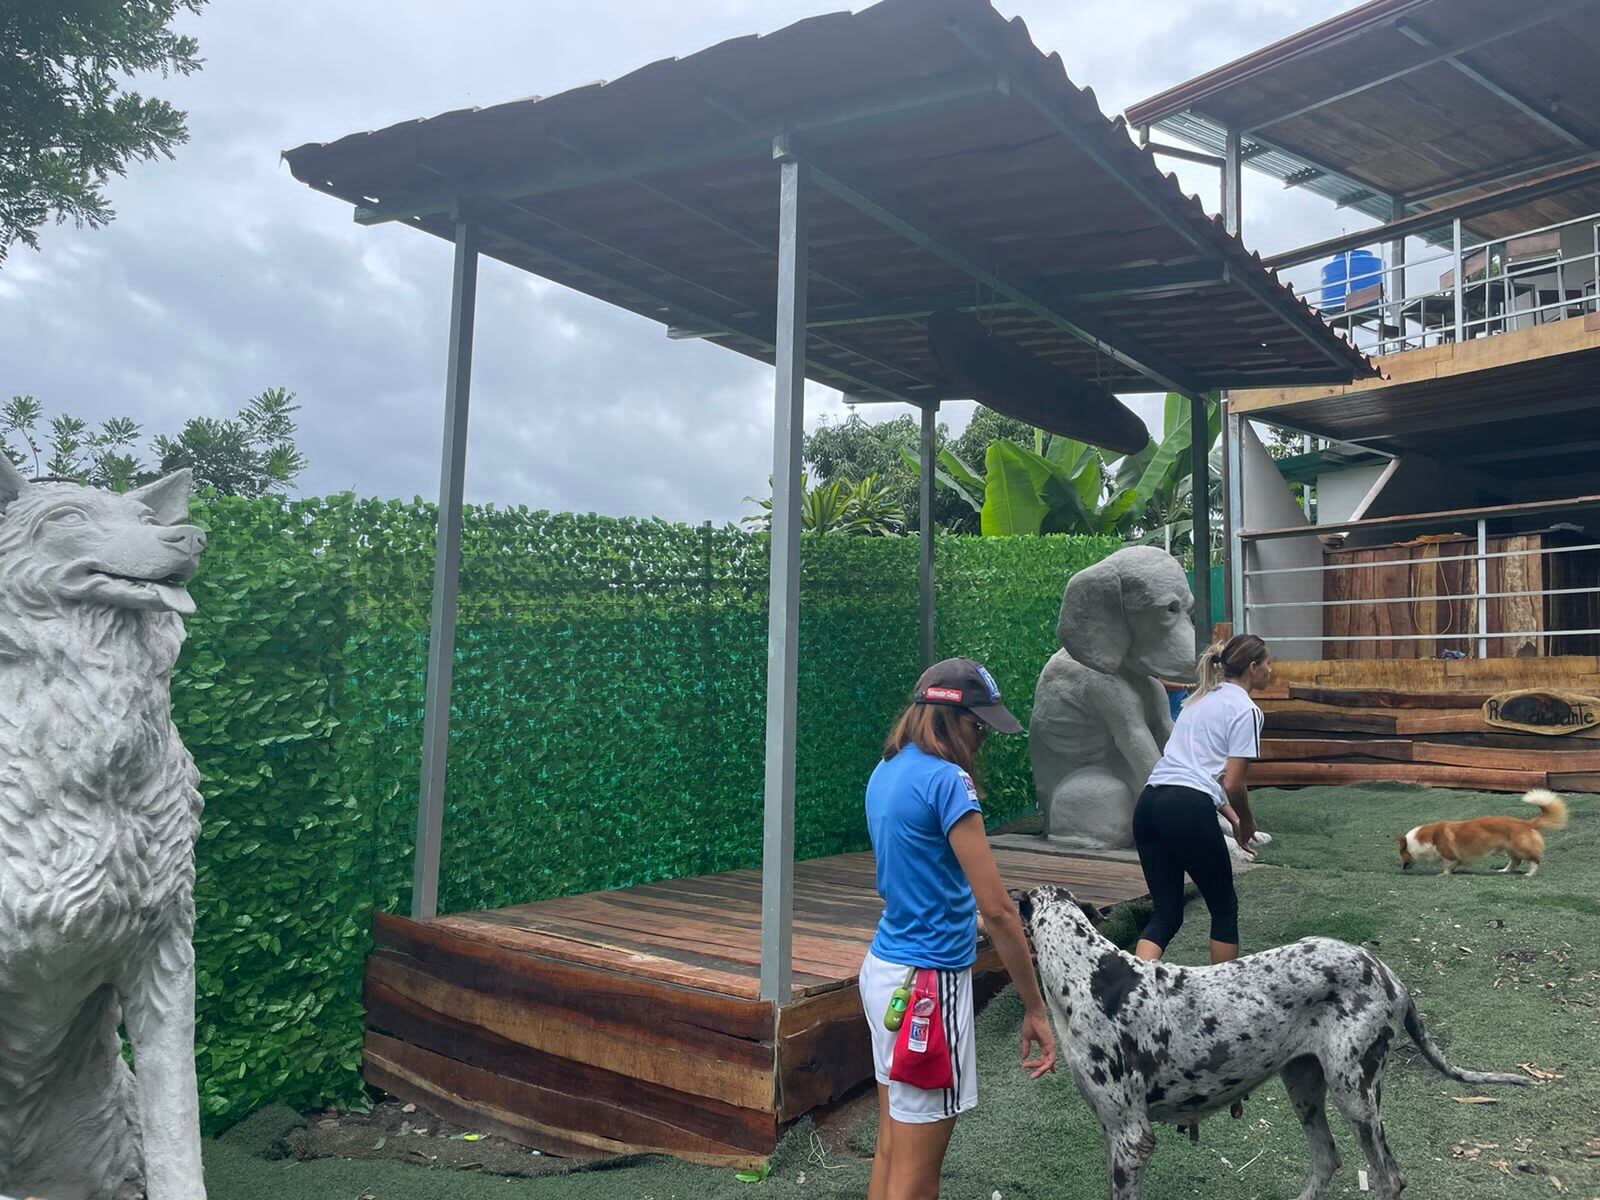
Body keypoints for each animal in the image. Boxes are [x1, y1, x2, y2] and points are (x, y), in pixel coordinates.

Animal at [1016, 884, 1528, 1199]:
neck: (1088, 971)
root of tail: (1389, 974)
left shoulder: (1131, 1136)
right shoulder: (1111, 1130)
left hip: (1354, 1095)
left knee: (1389, 1178)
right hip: (1304, 1088)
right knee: (1327, 1161)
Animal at [1398, 789, 1568, 875]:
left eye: (1401, 854)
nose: (1402, 868)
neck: (1426, 839)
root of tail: (1526, 823)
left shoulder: (1449, 855)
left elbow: (1447, 866)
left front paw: (1443, 874)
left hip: (1521, 848)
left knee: (1534, 860)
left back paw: (1530, 873)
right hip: (1510, 849)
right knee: (1515, 861)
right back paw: (1503, 870)